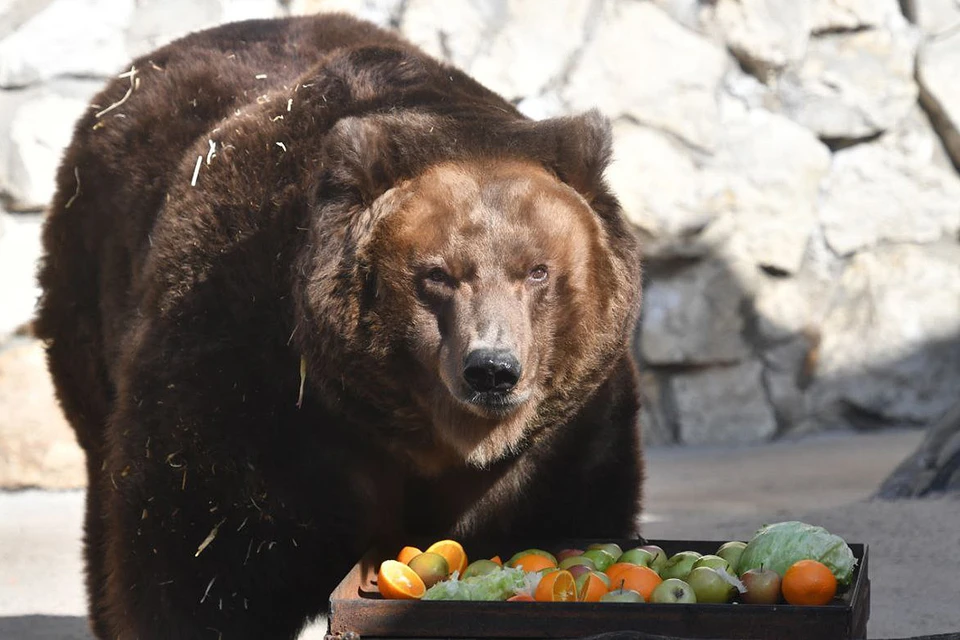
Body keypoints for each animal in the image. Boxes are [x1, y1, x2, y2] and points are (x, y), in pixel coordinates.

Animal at [35, 11, 644, 640]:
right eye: (438, 275)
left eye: (537, 270)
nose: (493, 370)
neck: (423, 435)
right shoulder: (251, 384)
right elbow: (196, 561)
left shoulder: (556, 446)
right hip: (89, 290)